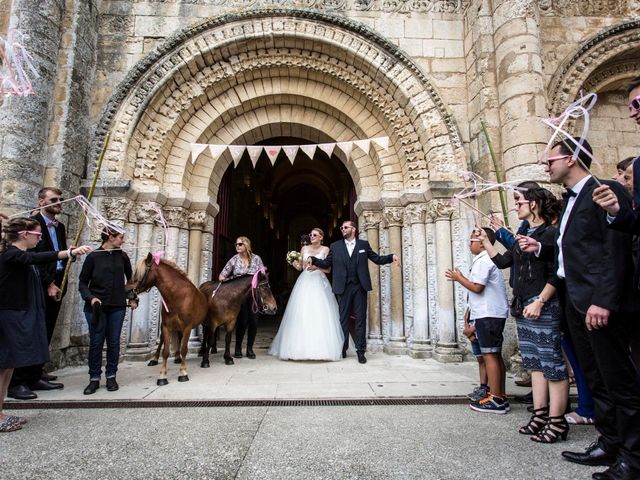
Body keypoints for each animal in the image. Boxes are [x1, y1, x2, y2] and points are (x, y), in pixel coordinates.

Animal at [124, 255, 206, 386]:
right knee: (163, 339)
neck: (178, 296)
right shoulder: (166, 326)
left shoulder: (187, 327)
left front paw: (183, 373)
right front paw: (162, 376)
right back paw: (155, 359)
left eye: (139, 273)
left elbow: (184, 349)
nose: (126, 291)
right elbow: (166, 351)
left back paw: (177, 357)